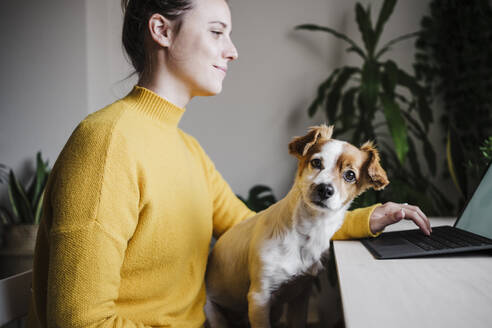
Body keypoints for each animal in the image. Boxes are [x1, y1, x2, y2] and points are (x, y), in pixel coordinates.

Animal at [204, 124, 388, 326]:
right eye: (316, 163)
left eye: (350, 175)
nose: (324, 189)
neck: (307, 231)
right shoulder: (259, 298)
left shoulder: (301, 293)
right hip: (213, 312)